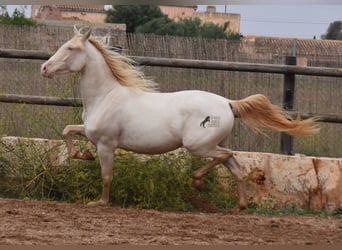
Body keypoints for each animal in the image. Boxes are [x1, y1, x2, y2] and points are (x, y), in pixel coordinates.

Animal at [40, 27, 320, 210]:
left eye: (71, 48)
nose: (45, 68)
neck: (105, 96)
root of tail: (228, 103)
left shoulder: (106, 145)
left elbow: (106, 175)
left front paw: (100, 202)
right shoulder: (89, 133)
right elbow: (67, 131)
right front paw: (83, 155)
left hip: (198, 146)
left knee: (226, 156)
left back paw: (197, 180)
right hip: (213, 143)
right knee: (235, 165)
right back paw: (239, 205)